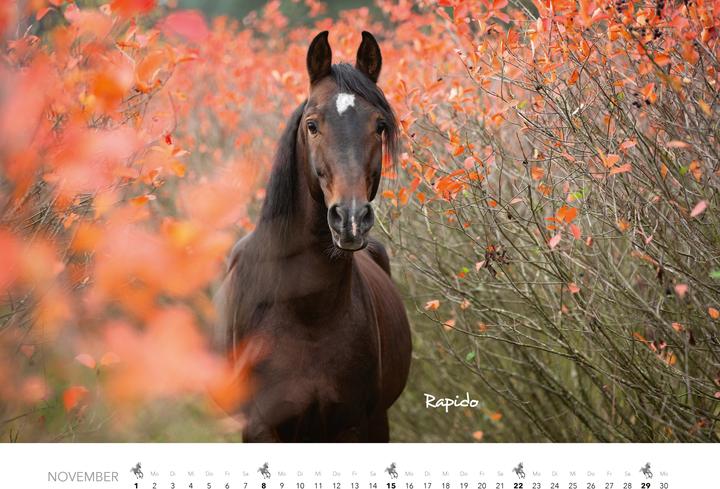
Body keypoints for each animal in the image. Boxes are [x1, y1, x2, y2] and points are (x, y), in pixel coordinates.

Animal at [215, 31, 411, 442]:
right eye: (312, 124)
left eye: (379, 126)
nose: (350, 218)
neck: (308, 313)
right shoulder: (262, 427)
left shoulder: (359, 424)